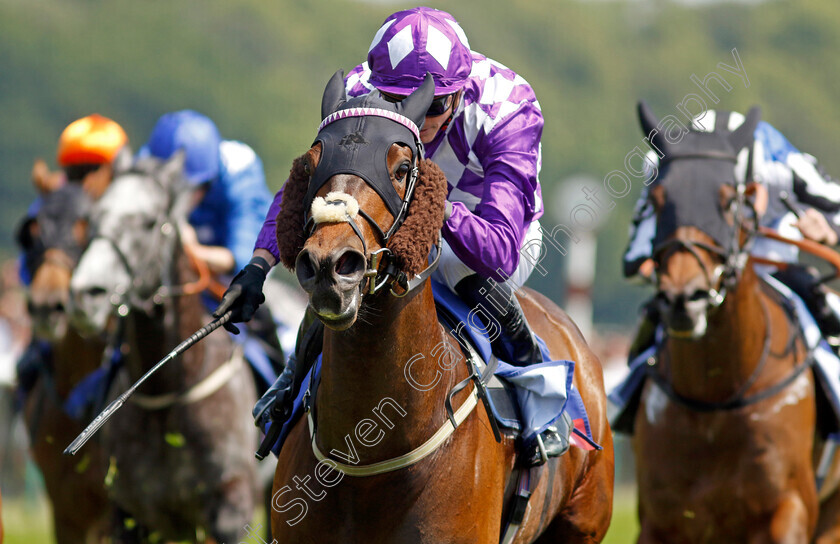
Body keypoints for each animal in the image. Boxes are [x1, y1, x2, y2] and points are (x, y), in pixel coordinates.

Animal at [68, 154, 258, 544]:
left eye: (149, 222)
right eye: (93, 218)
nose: (85, 294)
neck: (168, 392)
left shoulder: (231, 506)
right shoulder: (130, 515)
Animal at [632, 101, 840, 540]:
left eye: (729, 200)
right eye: (656, 201)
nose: (684, 297)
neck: (718, 396)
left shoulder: (789, 509)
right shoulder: (661, 521)